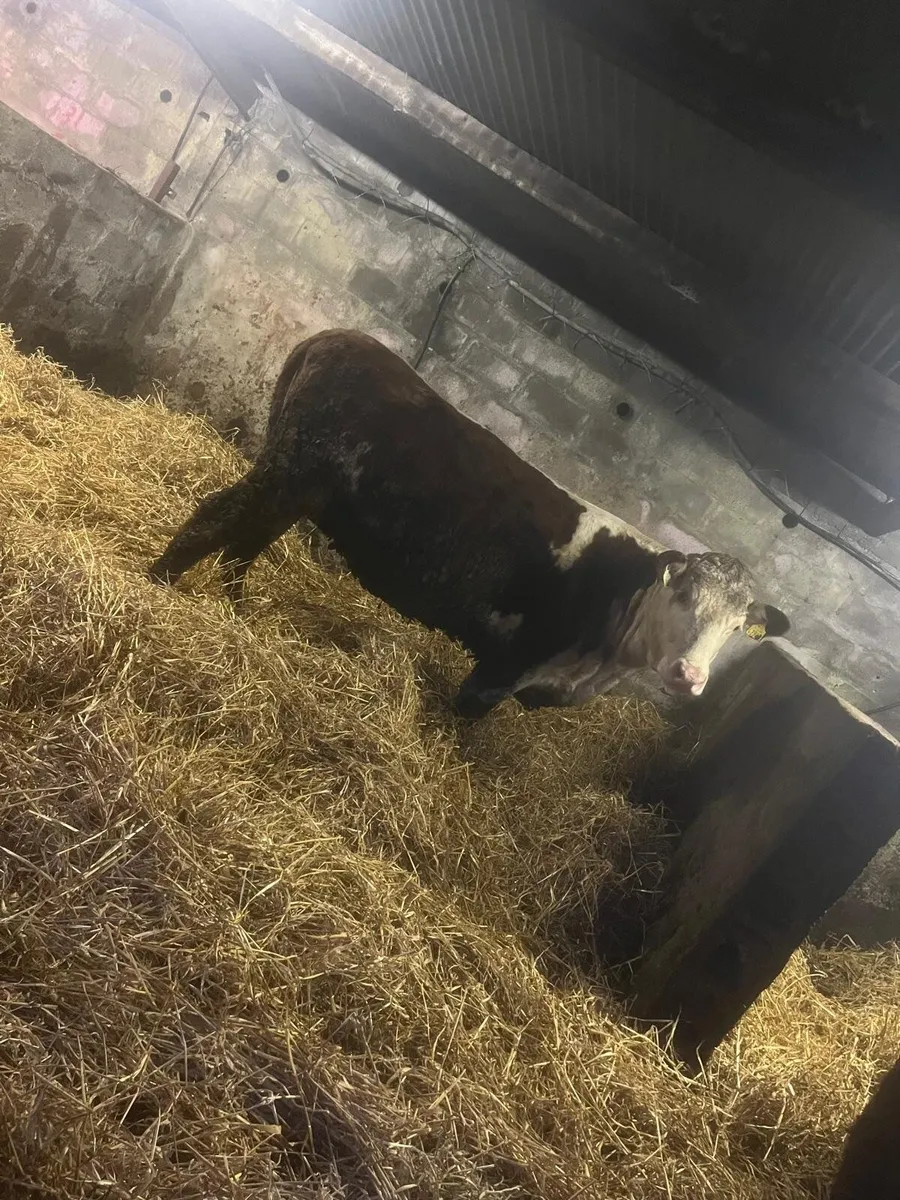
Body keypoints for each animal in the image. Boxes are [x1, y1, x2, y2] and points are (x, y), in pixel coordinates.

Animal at [147, 330, 789, 718]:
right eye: (683, 594)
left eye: (739, 626)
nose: (689, 675)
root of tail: (336, 338)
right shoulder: (504, 667)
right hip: (290, 473)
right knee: (217, 517)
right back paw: (157, 583)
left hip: (299, 490)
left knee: (246, 542)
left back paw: (236, 611)